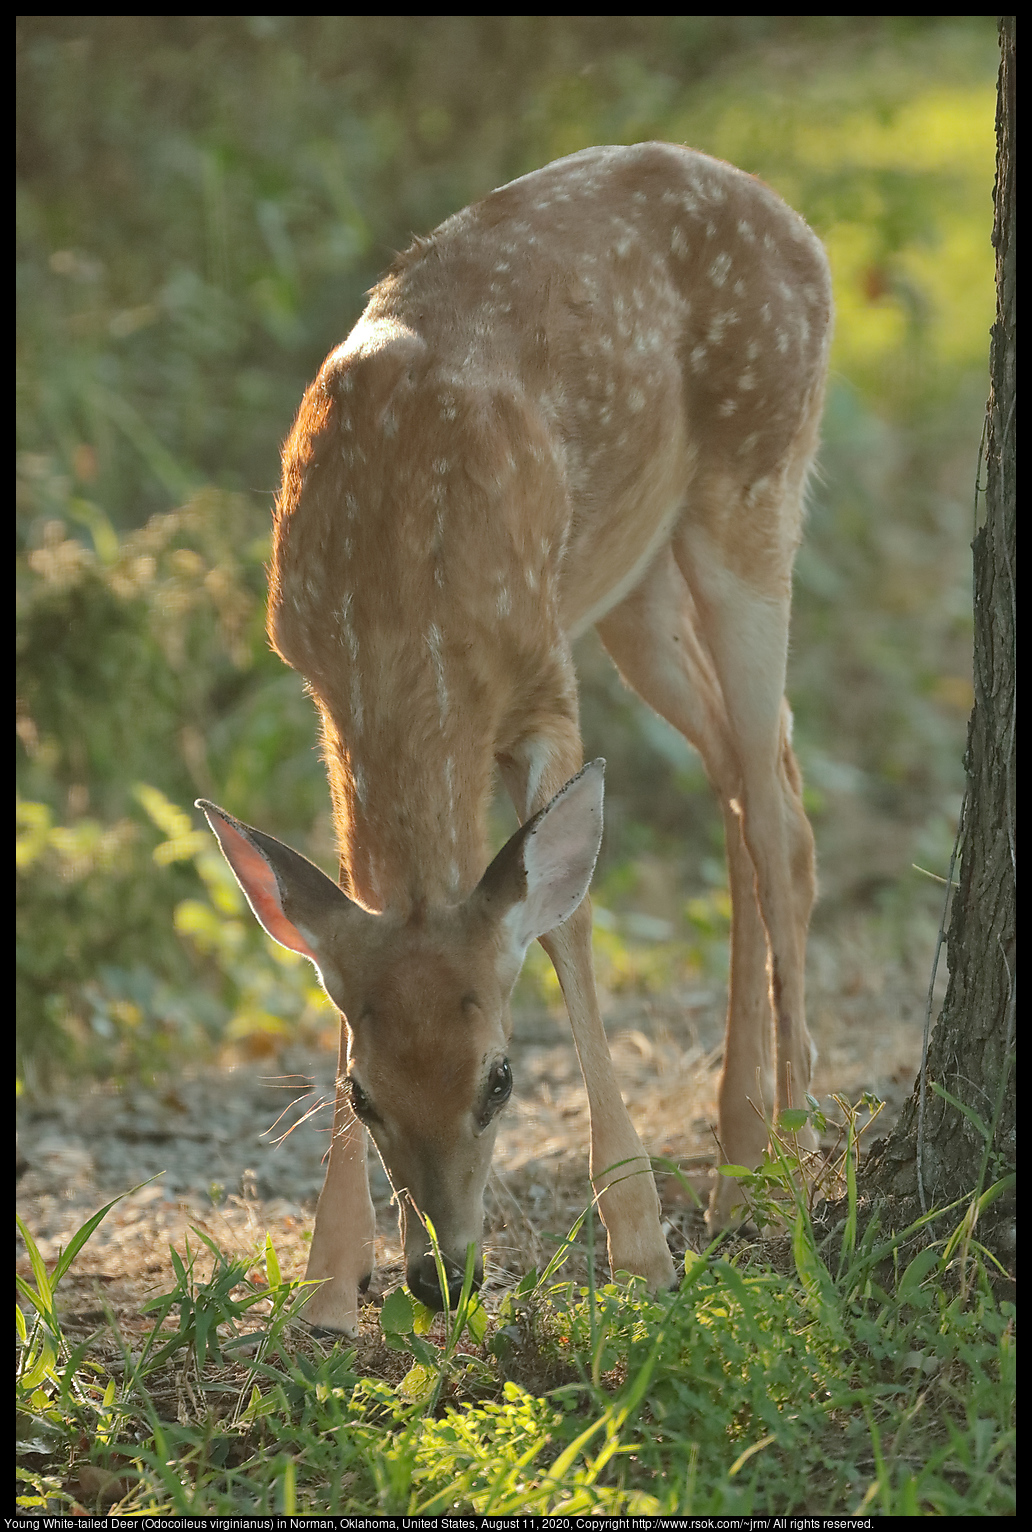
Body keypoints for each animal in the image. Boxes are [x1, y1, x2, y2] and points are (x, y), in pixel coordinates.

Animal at [197, 146, 832, 1342]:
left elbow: (564, 922)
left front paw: (641, 1251)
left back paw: (799, 1153)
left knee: (778, 811)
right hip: (634, 582)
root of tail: (791, 215)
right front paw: (327, 1284)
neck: (398, 600)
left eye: (500, 1079)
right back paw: (738, 1164)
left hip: (754, 490)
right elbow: (341, 917)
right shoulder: (319, 688)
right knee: (749, 771)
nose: (442, 1276)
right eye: (361, 1092)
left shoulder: (544, 678)